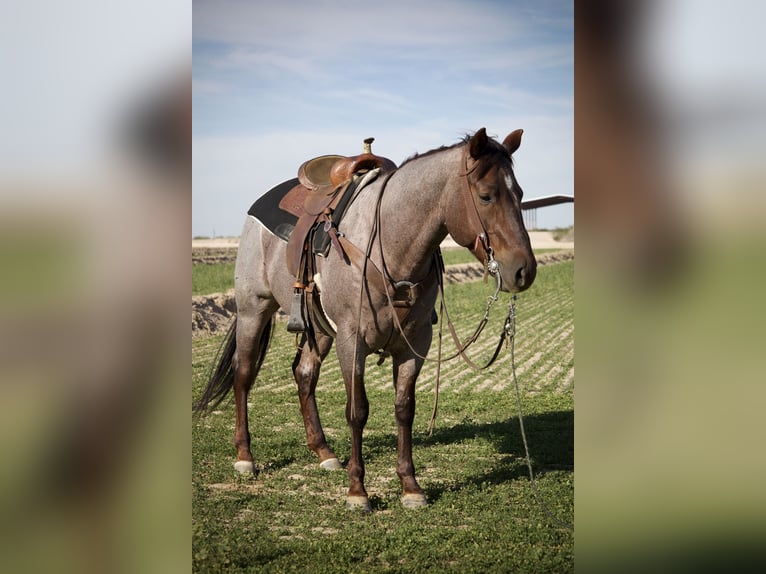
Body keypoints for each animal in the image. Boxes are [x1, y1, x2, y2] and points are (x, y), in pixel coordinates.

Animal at [194, 128, 537, 511]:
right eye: (486, 195)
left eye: (520, 194)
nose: (523, 270)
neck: (391, 244)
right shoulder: (351, 340)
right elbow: (357, 411)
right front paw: (357, 491)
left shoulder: (414, 343)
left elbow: (404, 409)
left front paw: (410, 486)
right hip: (253, 310)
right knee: (243, 375)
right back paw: (245, 456)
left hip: (318, 329)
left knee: (304, 374)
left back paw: (324, 451)